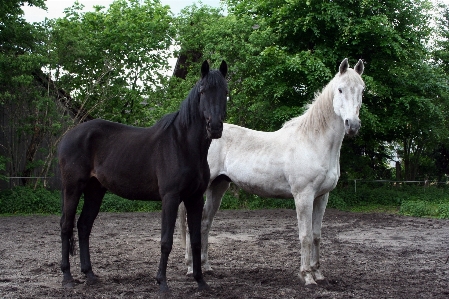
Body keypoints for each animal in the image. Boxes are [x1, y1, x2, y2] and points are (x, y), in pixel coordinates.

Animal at [57, 60, 228, 292]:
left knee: (83, 226)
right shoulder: (170, 197)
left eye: (225, 92)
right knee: (66, 226)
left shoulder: (195, 198)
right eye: (202, 91)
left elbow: (195, 241)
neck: (182, 144)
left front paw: (201, 282)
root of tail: (68, 136)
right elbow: (166, 241)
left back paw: (90, 274)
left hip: (95, 190)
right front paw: (162, 283)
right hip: (72, 187)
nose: (215, 127)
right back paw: (67, 277)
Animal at [178, 58, 364, 288]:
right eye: (340, 89)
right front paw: (307, 276)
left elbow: (316, 235)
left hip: (218, 186)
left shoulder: (322, 196)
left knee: (205, 222)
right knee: (191, 223)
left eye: (362, 90)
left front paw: (318, 273)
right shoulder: (303, 196)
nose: (352, 125)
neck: (313, 142)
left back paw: (206, 267)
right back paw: (190, 268)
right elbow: (305, 236)